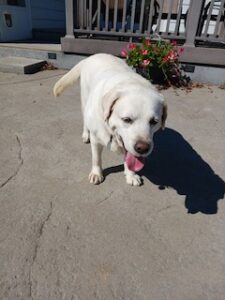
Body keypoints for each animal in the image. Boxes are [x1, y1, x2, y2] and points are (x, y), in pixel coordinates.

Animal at [53, 53, 167, 185]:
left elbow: (129, 158)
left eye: (154, 122)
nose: (142, 148)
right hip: (85, 100)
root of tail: (92, 56)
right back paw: (85, 134)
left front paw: (131, 175)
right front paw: (96, 173)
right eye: (127, 119)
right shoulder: (96, 139)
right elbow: (96, 158)